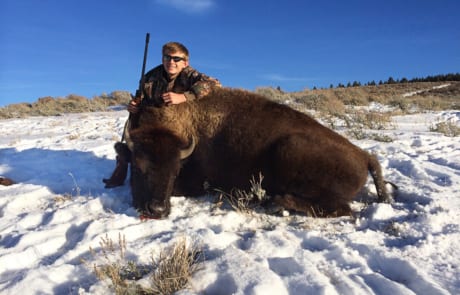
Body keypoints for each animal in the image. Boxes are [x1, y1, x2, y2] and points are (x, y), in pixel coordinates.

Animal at [122, 88, 392, 220]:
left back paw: (277, 203)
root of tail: (364, 156)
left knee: (341, 208)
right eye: (138, 166)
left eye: (175, 169)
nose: (157, 210)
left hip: (289, 149)